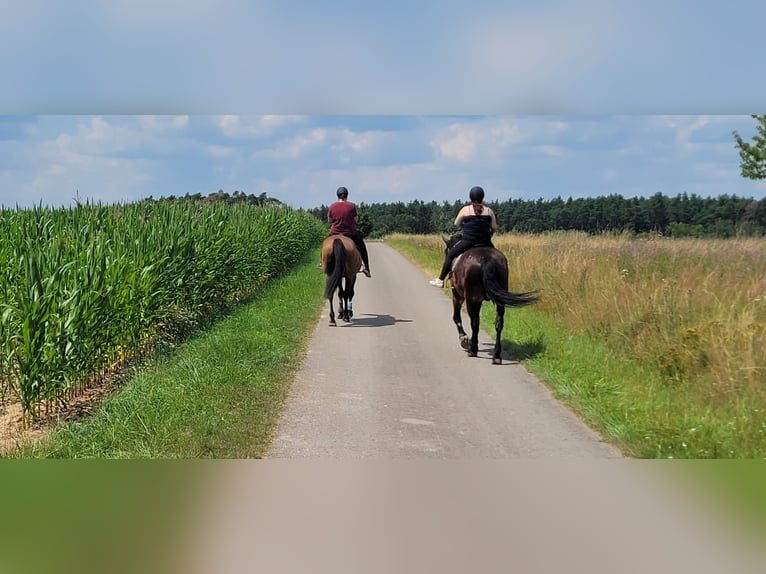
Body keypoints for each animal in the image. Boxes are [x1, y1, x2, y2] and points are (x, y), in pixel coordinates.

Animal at [440, 235, 544, 366]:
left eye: (446, 251)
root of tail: (486, 259)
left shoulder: (458, 296)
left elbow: (456, 318)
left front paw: (464, 339)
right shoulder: (478, 300)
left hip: (469, 299)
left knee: (475, 322)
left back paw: (473, 350)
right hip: (497, 300)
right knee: (499, 323)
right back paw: (496, 356)